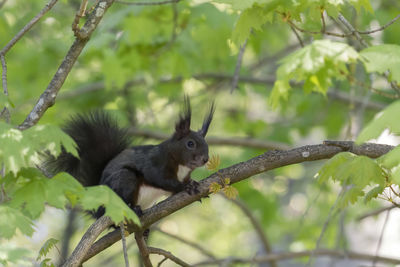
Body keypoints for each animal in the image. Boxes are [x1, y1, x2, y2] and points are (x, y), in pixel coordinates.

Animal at [45, 97, 214, 219]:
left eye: (206, 144)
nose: (205, 159)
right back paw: (132, 209)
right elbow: (160, 179)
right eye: (190, 143)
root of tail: (98, 209)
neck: (181, 165)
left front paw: (192, 182)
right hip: (124, 179)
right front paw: (185, 187)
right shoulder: (156, 163)